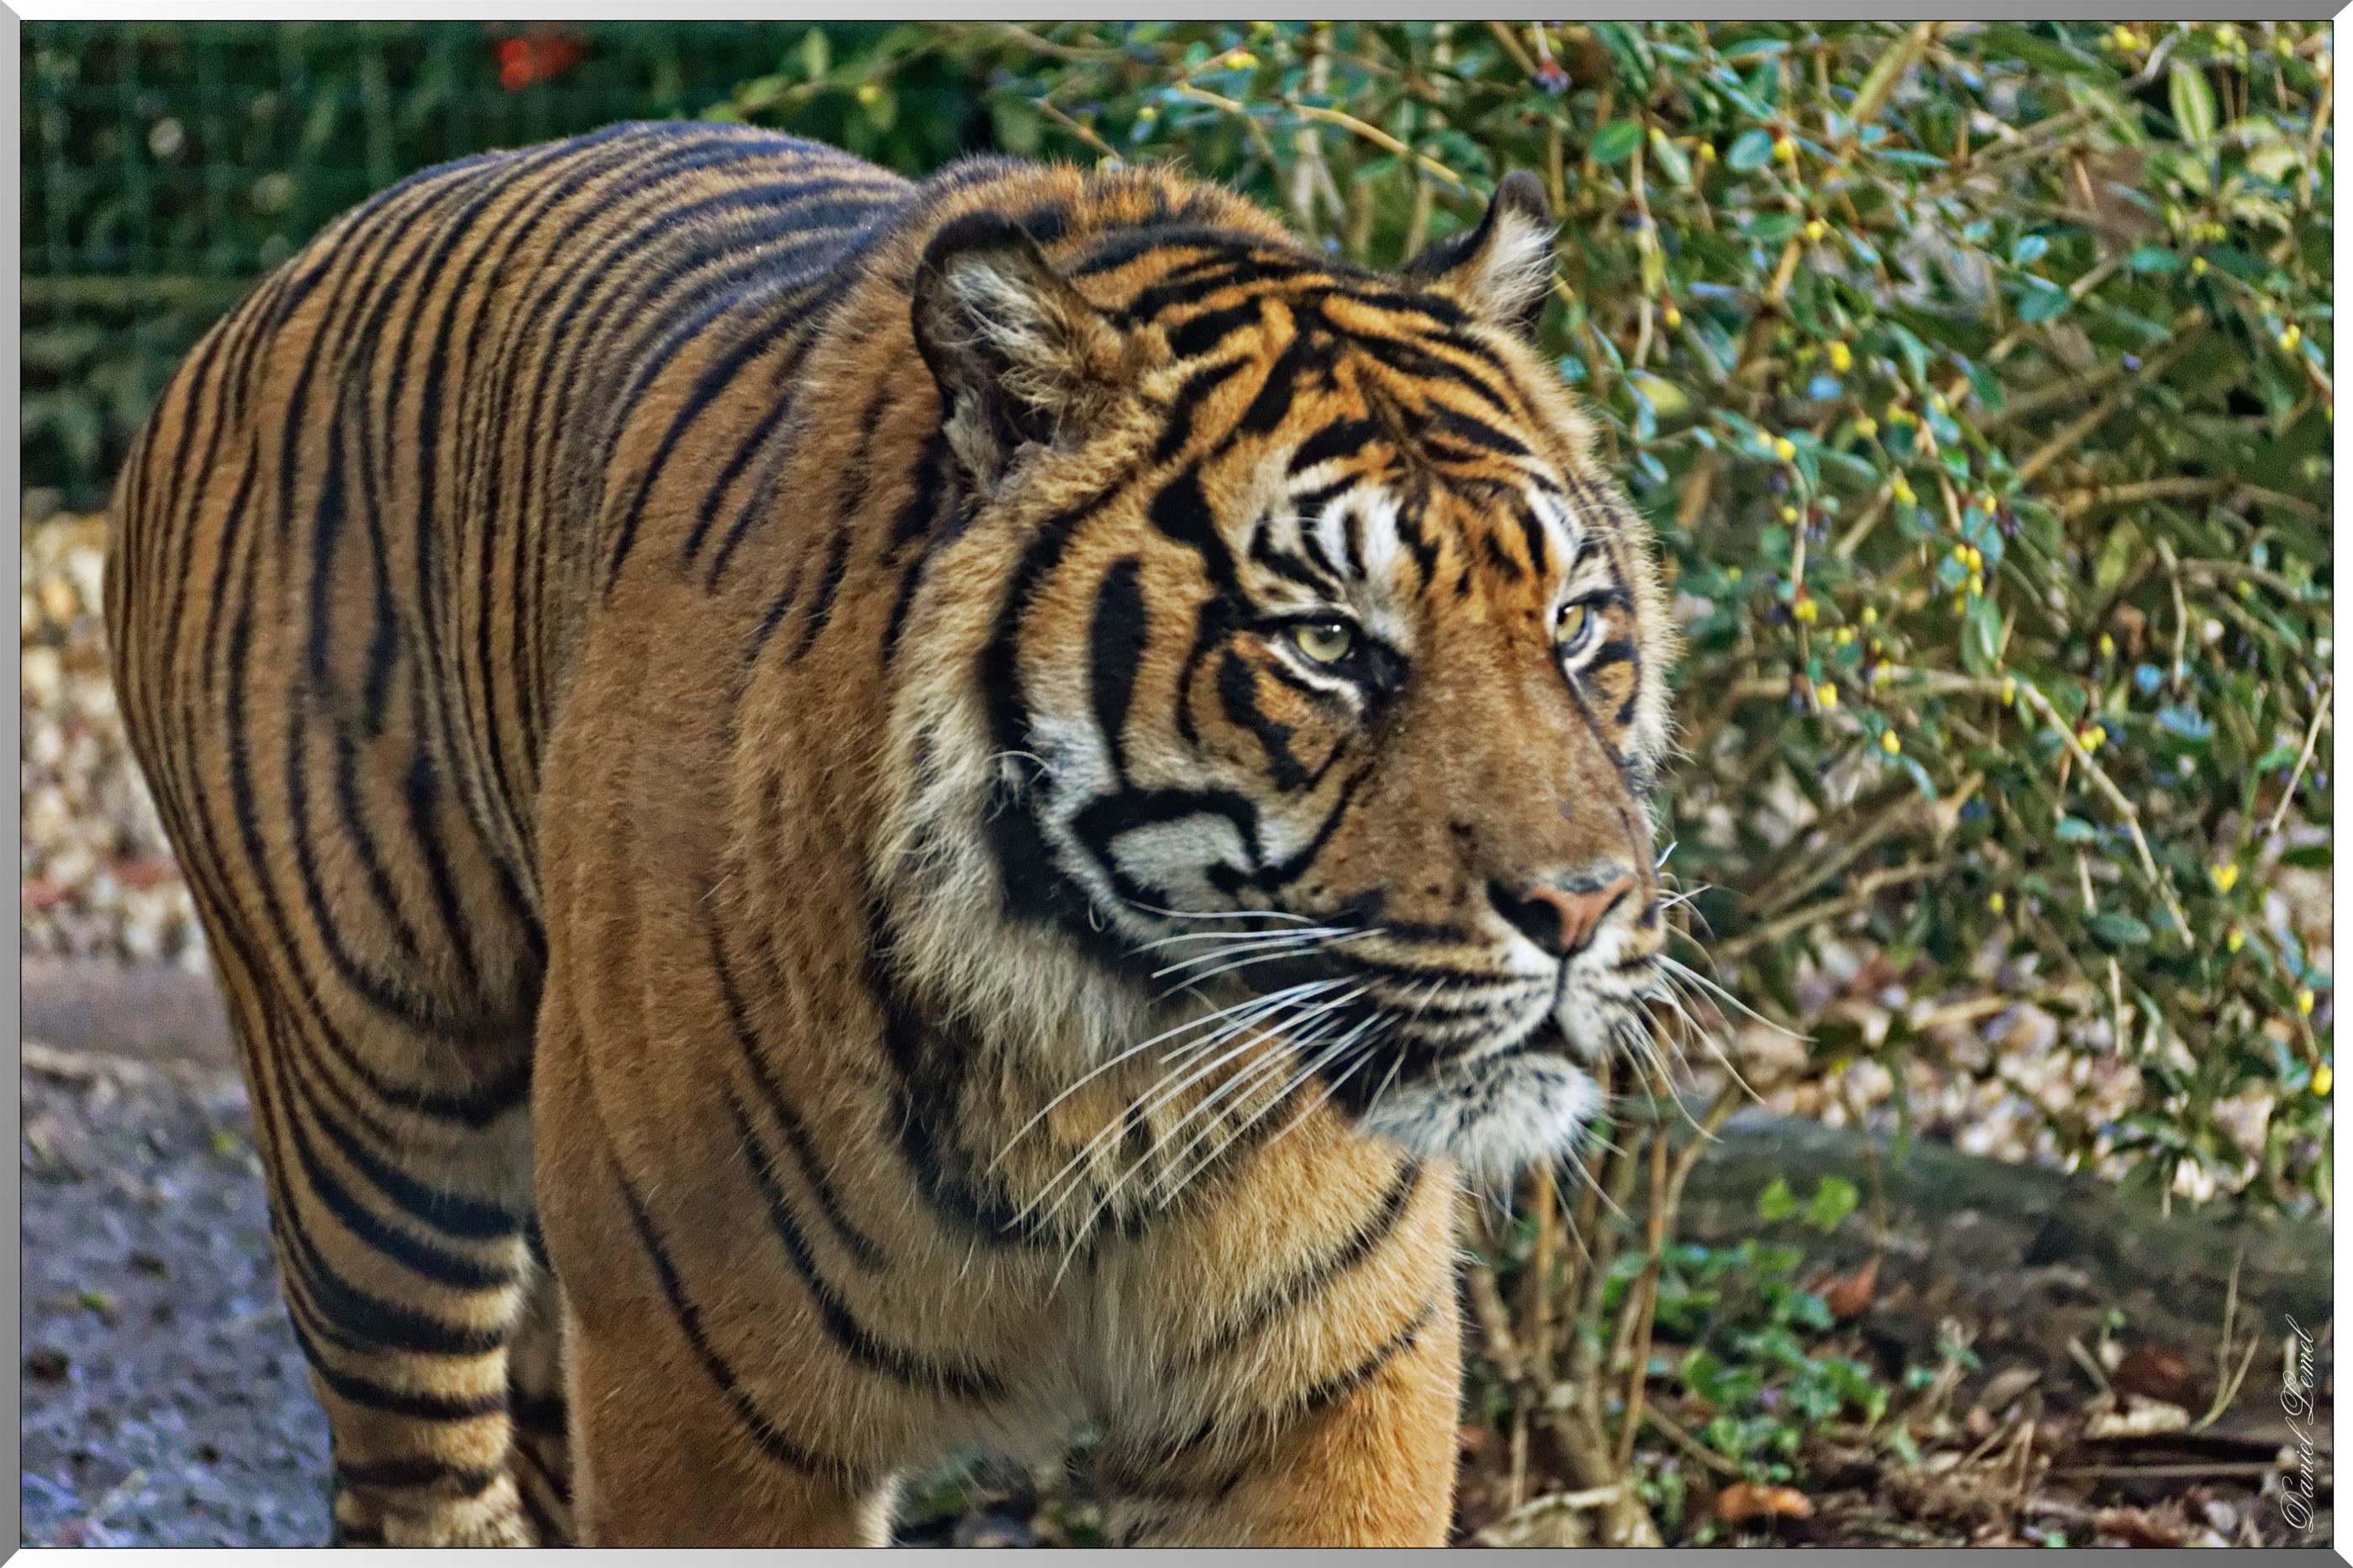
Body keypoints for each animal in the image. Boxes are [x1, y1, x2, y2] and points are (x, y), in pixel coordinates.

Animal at [104, 120, 1678, 1547]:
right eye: (1327, 642)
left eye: (1573, 621)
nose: (1584, 906)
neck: (1117, 1056)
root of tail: (272, 284)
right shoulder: (708, 1410)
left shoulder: (1323, 1399)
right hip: (384, 1141)